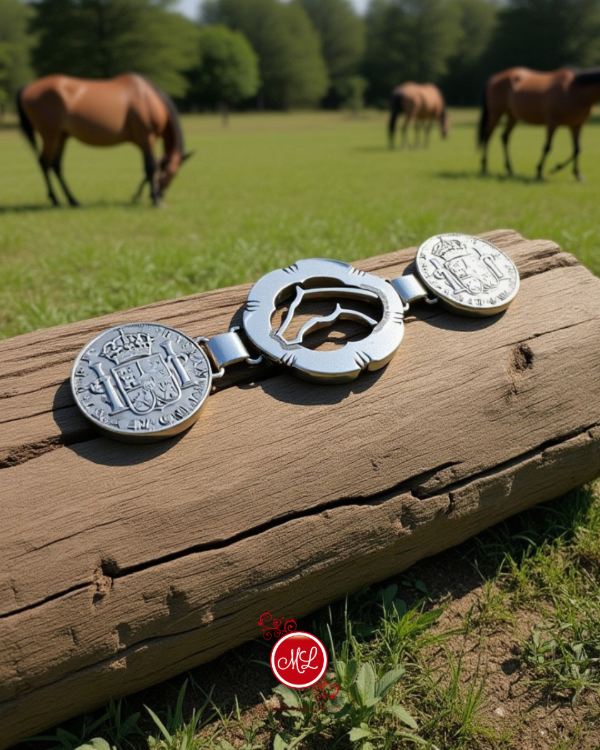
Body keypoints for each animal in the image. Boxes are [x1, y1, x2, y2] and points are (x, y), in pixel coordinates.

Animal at [16, 73, 192, 207]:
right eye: (171, 173)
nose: (161, 194)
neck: (147, 99)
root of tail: (28, 87)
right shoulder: (147, 138)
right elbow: (151, 167)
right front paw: (155, 200)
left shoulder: (143, 141)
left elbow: (148, 168)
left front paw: (138, 196)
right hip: (50, 135)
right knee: (44, 162)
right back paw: (55, 199)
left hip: (61, 136)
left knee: (55, 165)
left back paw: (72, 200)